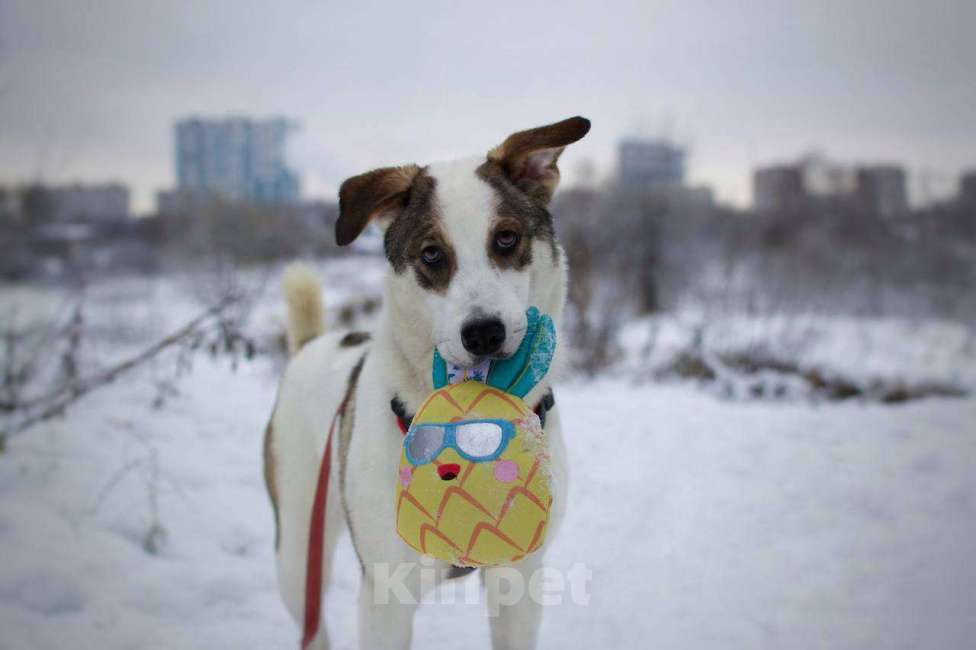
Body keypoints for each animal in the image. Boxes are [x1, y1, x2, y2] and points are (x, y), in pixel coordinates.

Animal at [264, 116, 592, 648]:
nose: (483, 333)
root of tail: (313, 345)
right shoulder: (385, 595)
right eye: (432, 254)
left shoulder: (519, 579)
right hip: (296, 543)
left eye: (506, 239)